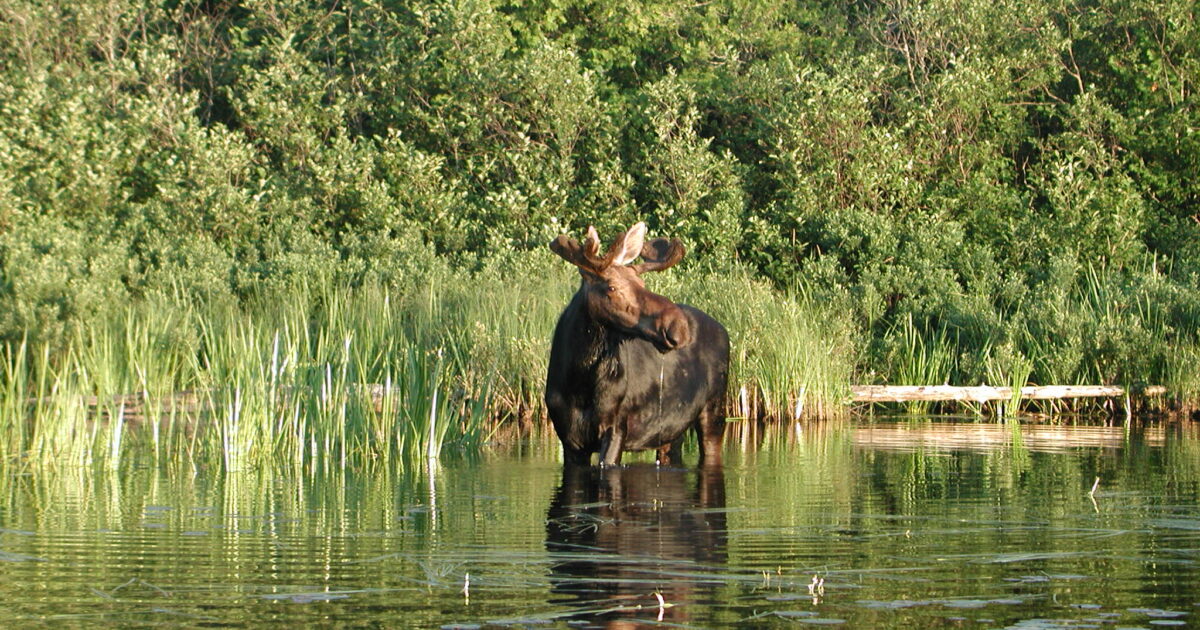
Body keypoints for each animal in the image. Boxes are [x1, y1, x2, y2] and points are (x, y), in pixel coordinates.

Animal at [547, 222, 729, 465]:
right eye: (611, 287)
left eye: (641, 283)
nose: (678, 325)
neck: (579, 380)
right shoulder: (569, 439)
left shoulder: (617, 427)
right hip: (672, 429)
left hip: (715, 410)